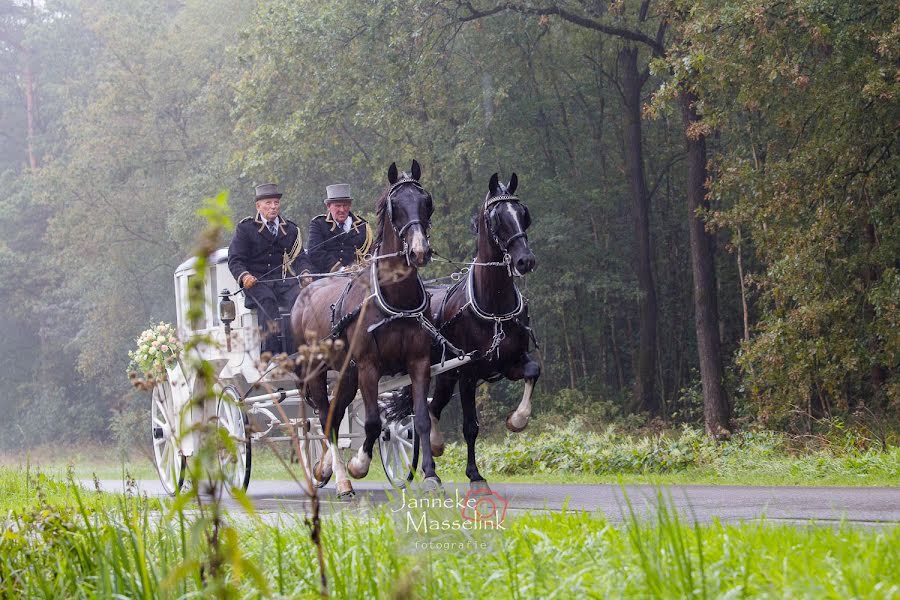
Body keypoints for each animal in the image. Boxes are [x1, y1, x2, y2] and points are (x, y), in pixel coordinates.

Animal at [292, 162, 442, 494]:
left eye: (426, 201)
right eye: (395, 205)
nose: (419, 251)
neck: (395, 299)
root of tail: (304, 293)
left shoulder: (419, 362)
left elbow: (422, 419)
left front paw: (430, 475)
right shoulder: (369, 366)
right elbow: (373, 421)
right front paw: (358, 465)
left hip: (346, 373)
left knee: (334, 416)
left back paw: (323, 469)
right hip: (317, 370)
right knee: (325, 418)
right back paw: (341, 480)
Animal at [428, 172, 536, 488]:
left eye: (523, 214)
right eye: (496, 217)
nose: (525, 260)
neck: (495, 305)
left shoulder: (510, 363)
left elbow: (533, 370)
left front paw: (518, 420)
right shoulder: (467, 373)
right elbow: (470, 427)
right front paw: (475, 474)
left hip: (445, 375)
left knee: (432, 408)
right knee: (424, 412)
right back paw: (430, 464)